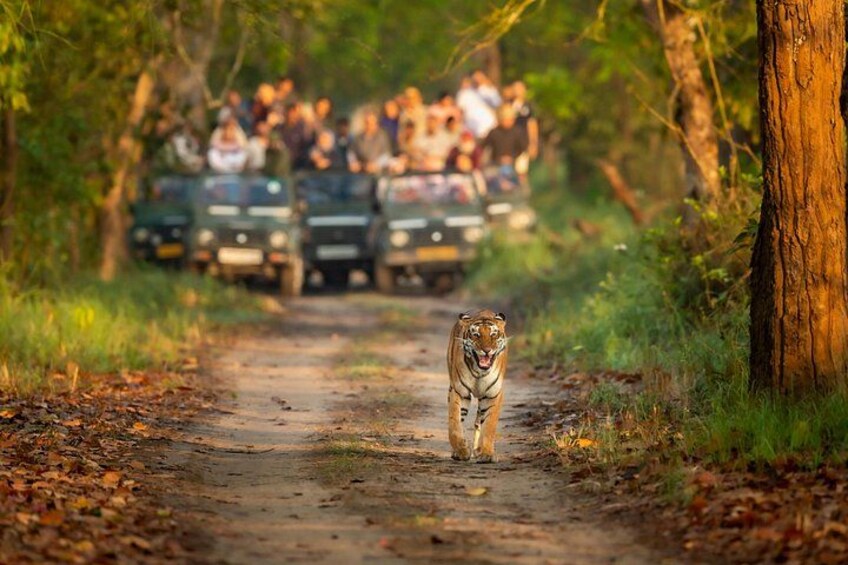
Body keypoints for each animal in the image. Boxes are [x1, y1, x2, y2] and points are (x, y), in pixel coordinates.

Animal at [446, 309, 508, 463]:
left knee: (479, 422)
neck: (479, 372)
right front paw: (461, 451)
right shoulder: (459, 392)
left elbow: (489, 425)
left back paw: (478, 449)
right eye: (476, 335)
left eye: (493, 334)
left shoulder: (493, 394)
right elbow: (454, 423)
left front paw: (486, 453)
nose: (487, 350)